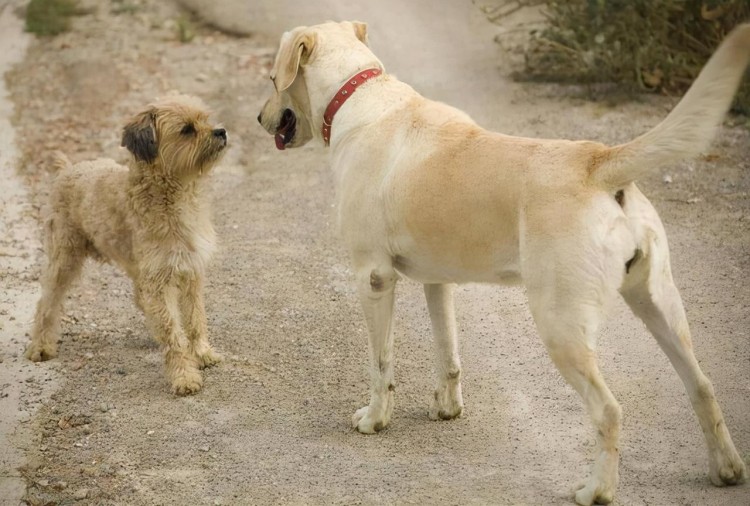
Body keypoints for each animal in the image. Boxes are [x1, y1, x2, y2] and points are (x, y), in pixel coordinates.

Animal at [26, 96, 229, 396]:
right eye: (187, 130)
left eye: (205, 119)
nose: (221, 131)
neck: (171, 197)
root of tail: (67, 170)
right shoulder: (160, 279)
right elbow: (174, 332)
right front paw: (183, 376)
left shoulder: (189, 273)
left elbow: (194, 320)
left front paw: (202, 354)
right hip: (63, 260)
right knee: (47, 303)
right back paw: (40, 346)